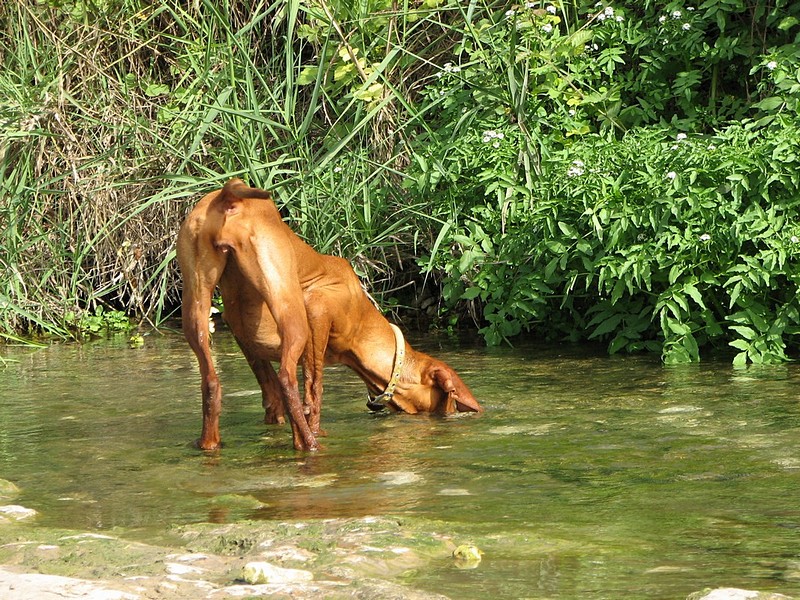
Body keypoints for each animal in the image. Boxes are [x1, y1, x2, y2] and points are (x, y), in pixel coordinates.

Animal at [178, 178, 482, 450]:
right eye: (450, 399)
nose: (450, 416)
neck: (360, 322)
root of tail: (230, 195)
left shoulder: (239, 329)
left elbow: (271, 393)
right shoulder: (317, 313)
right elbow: (314, 392)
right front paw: (315, 432)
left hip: (196, 307)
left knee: (212, 382)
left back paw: (208, 444)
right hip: (290, 311)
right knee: (288, 380)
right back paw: (310, 445)